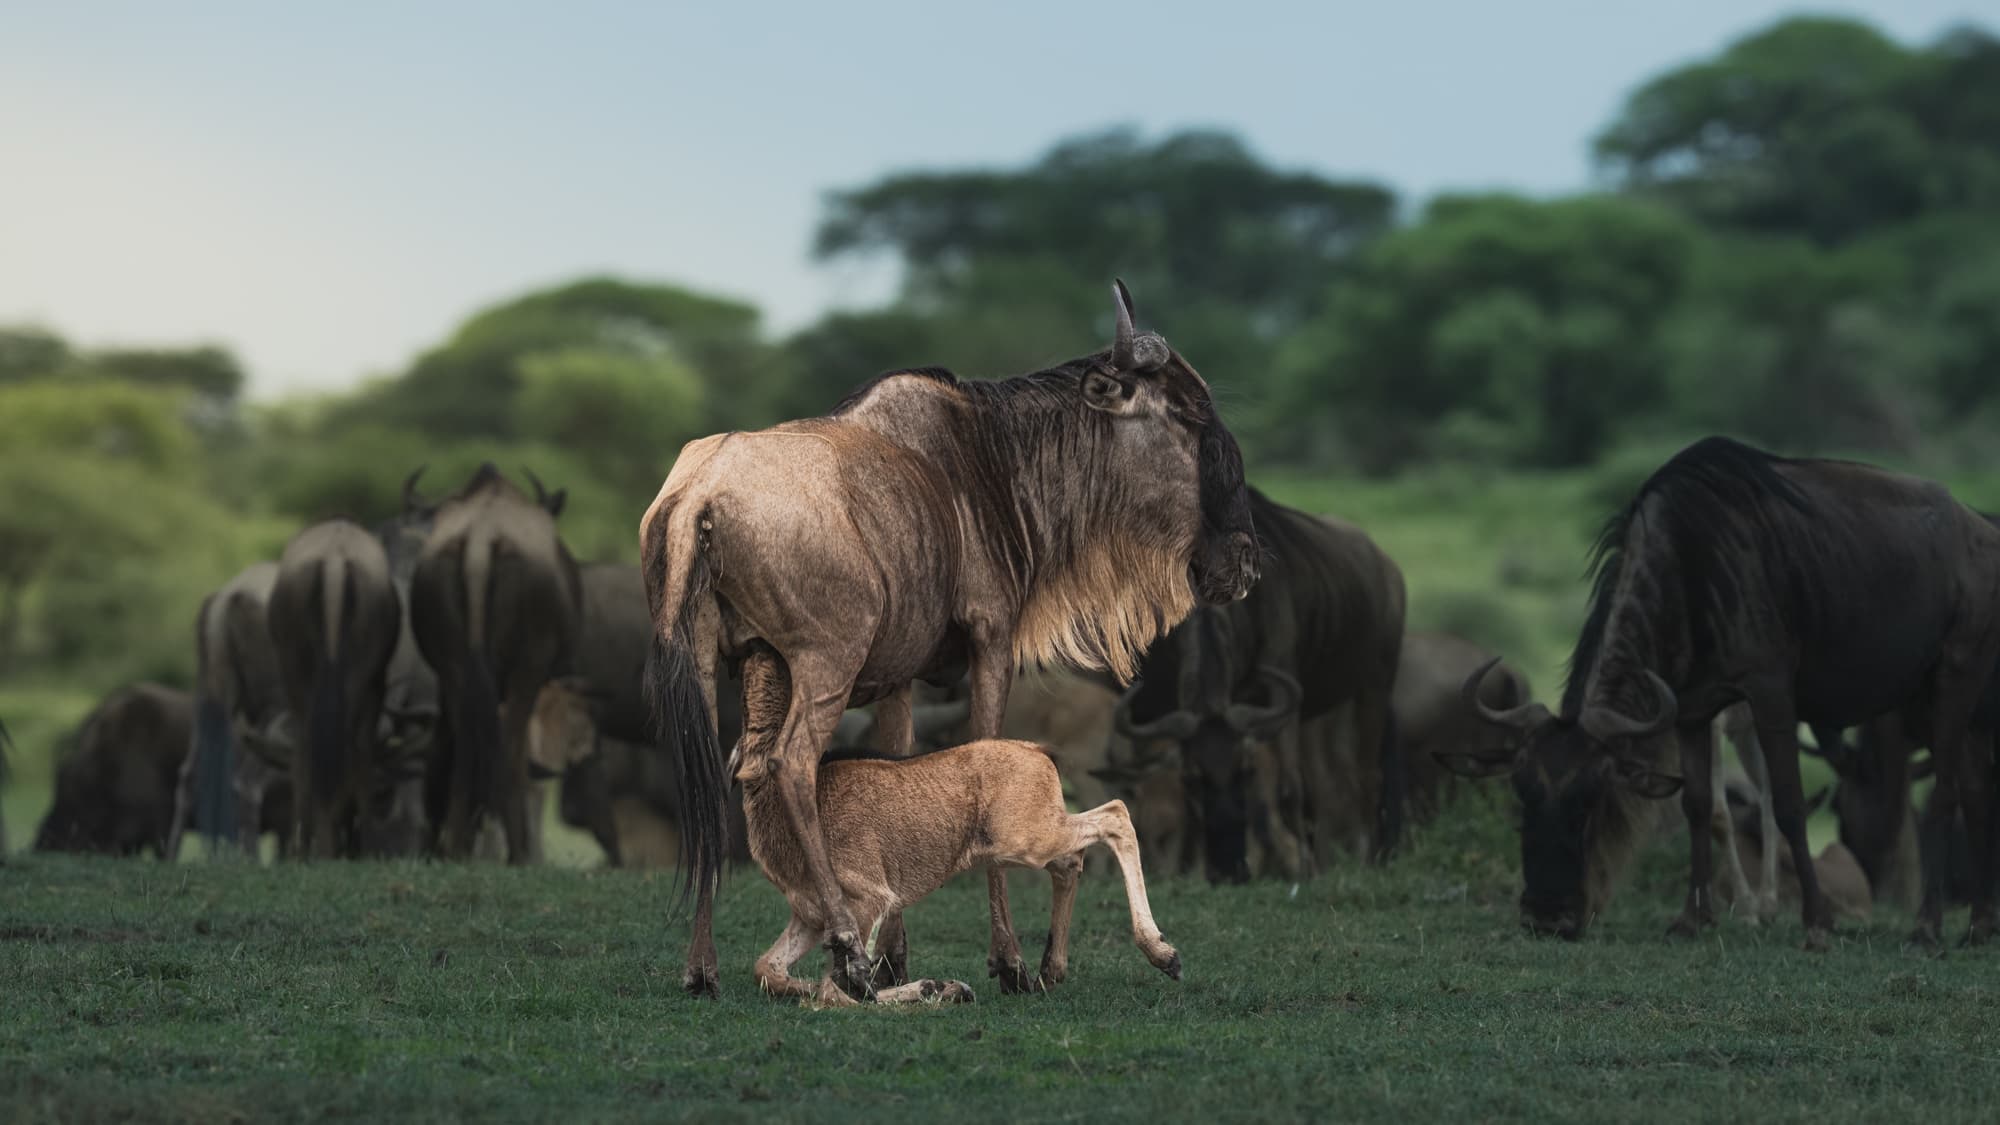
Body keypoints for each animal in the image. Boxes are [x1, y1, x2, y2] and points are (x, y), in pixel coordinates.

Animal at [168, 562, 291, 858]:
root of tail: (226, 601)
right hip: (272, 702)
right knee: (246, 784)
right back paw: (252, 858)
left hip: (211, 696)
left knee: (191, 774)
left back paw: (173, 856)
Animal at [410, 465, 582, 862]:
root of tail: (479, 542)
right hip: (526, 670)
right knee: (509, 751)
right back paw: (518, 852)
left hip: (456, 670)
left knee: (463, 746)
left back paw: (456, 846)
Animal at [640, 281, 1258, 1000]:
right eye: (1189, 417)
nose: (1244, 562)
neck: (989, 464)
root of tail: (699, 495)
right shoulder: (992, 641)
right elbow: (984, 756)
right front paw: (1009, 961)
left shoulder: (898, 678)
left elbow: (897, 765)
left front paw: (897, 958)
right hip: (826, 662)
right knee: (789, 763)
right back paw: (844, 944)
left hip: (704, 666)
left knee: (711, 780)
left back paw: (702, 968)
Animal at [1111, 493, 1404, 881]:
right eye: (1191, 779)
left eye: (1245, 771)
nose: (1229, 868)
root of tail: (1389, 570)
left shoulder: (1283, 699)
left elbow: (1289, 791)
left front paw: (1305, 873)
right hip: (1323, 710)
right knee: (1328, 786)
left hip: (1375, 685)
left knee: (1367, 777)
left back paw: (1369, 859)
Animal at [1443, 437, 2000, 949]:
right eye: (1522, 794)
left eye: (1591, 799)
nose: (1545, 917)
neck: (1690, 565)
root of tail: (1983, 531)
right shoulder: (1691, 711)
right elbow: (1699, 805)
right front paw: (1693, 919)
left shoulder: (1770, 693)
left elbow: (1789, 804)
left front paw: (1816, 922)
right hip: (1968, 710)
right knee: (1976, 794)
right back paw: (1978, 925)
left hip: (1955, 678)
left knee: (1945, 794)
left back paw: (1927, 926)